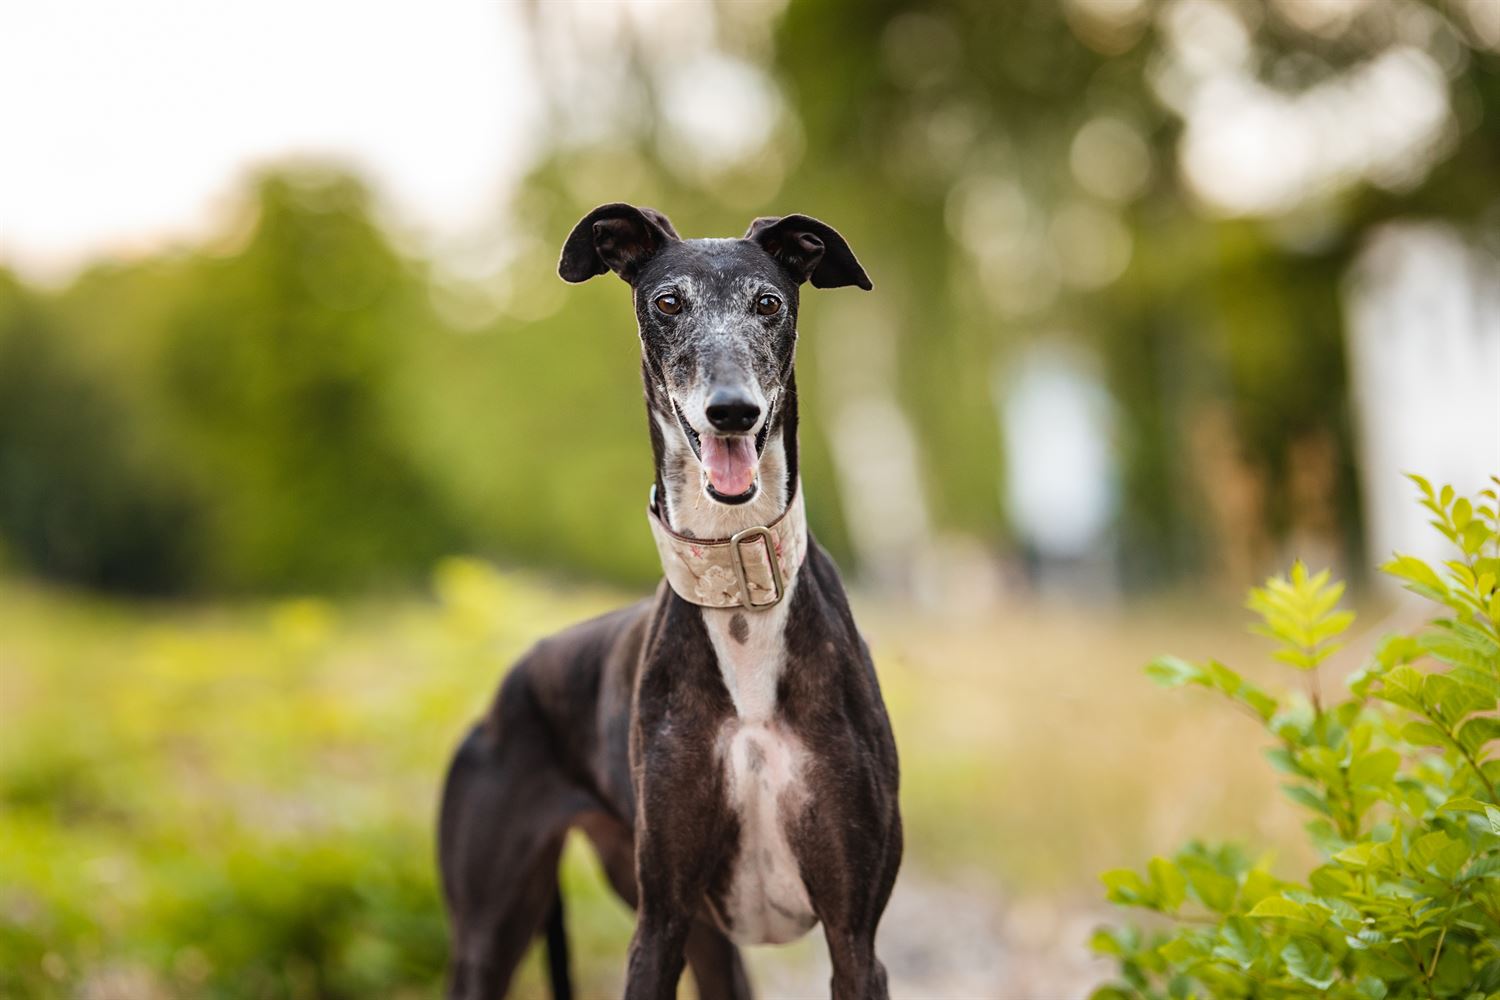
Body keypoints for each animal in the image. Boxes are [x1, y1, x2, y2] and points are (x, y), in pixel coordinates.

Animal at [435, 203, 900, 1000]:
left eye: (768, 303)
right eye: (667, 303)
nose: (732, 412)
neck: (738, 591)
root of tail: (510, 685)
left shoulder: (855, 936)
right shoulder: (661, 924)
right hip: (491, 934)